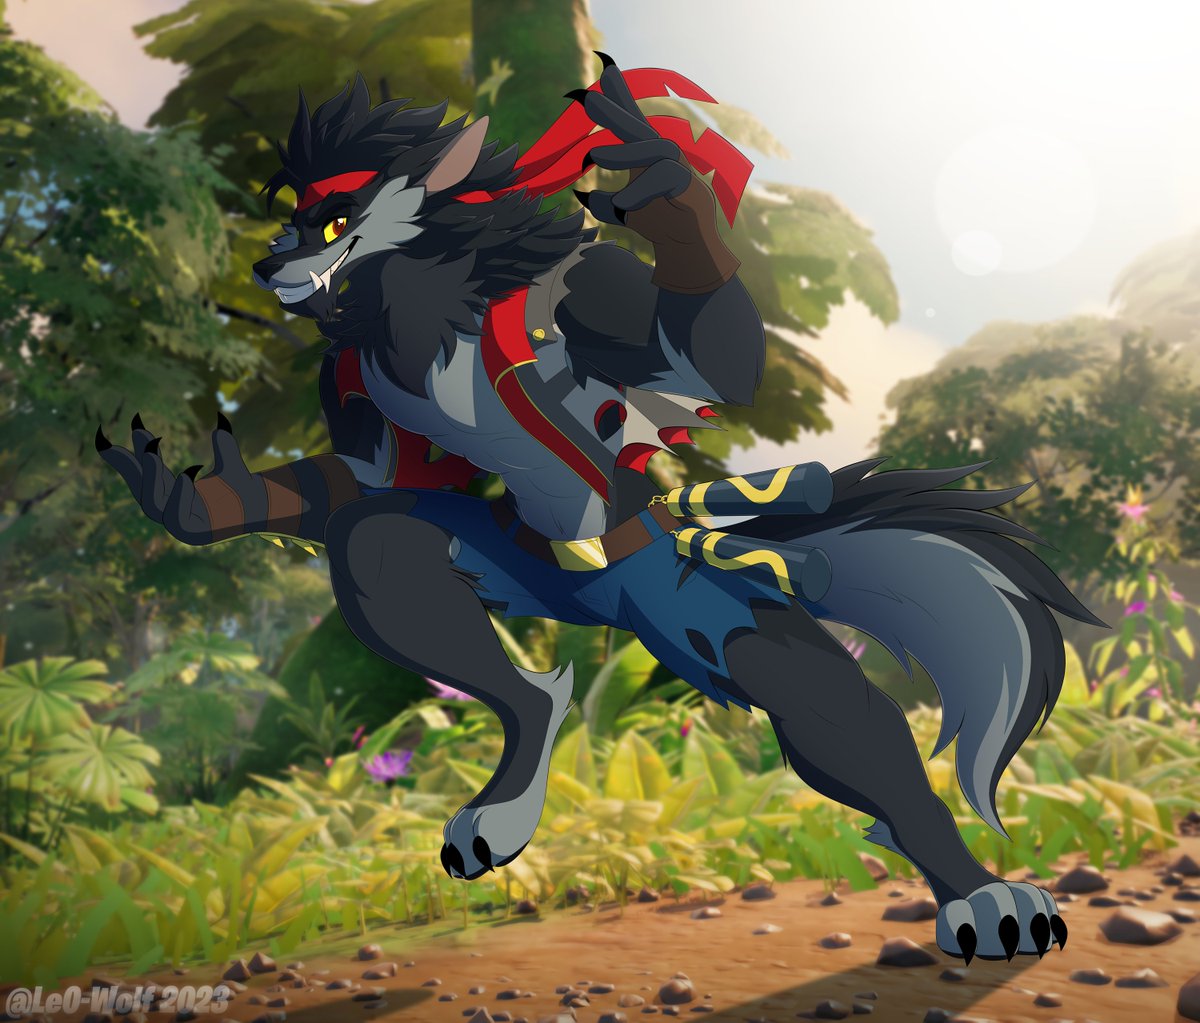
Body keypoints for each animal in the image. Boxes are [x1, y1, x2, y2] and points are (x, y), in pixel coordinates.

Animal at [98, 56, 1101, 963]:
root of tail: (609, 594)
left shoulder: (594, 291)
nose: (267, 259)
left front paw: (659, 173)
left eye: (335, 218)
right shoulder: (353, 393)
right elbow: (365, 485)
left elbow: (702, 363)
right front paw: (192, 499)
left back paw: (982, 896)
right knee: (395, 556)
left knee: (810, 691)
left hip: (693, 595)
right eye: (290, 218)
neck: (421, 302)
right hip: (538, 577)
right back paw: (513, 781)